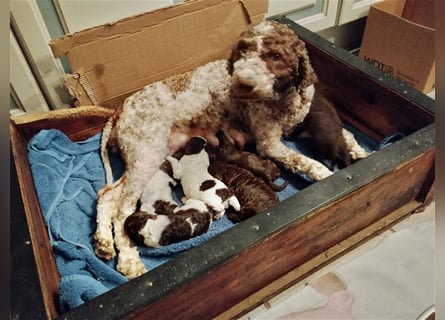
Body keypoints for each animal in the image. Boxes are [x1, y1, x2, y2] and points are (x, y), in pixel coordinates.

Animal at [94, 20, 368, 278]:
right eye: (242, 51)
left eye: (275, 56)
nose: (243, 83)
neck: (283, 99)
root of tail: (121, 108)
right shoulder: (269, 143)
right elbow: (307, 162)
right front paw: (327, 174)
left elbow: (347, 134)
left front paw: (361, 153)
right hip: (147, 152)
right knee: (121, 209)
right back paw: (129, 259)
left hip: (143, 157)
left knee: (107, 195)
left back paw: (103, 242)